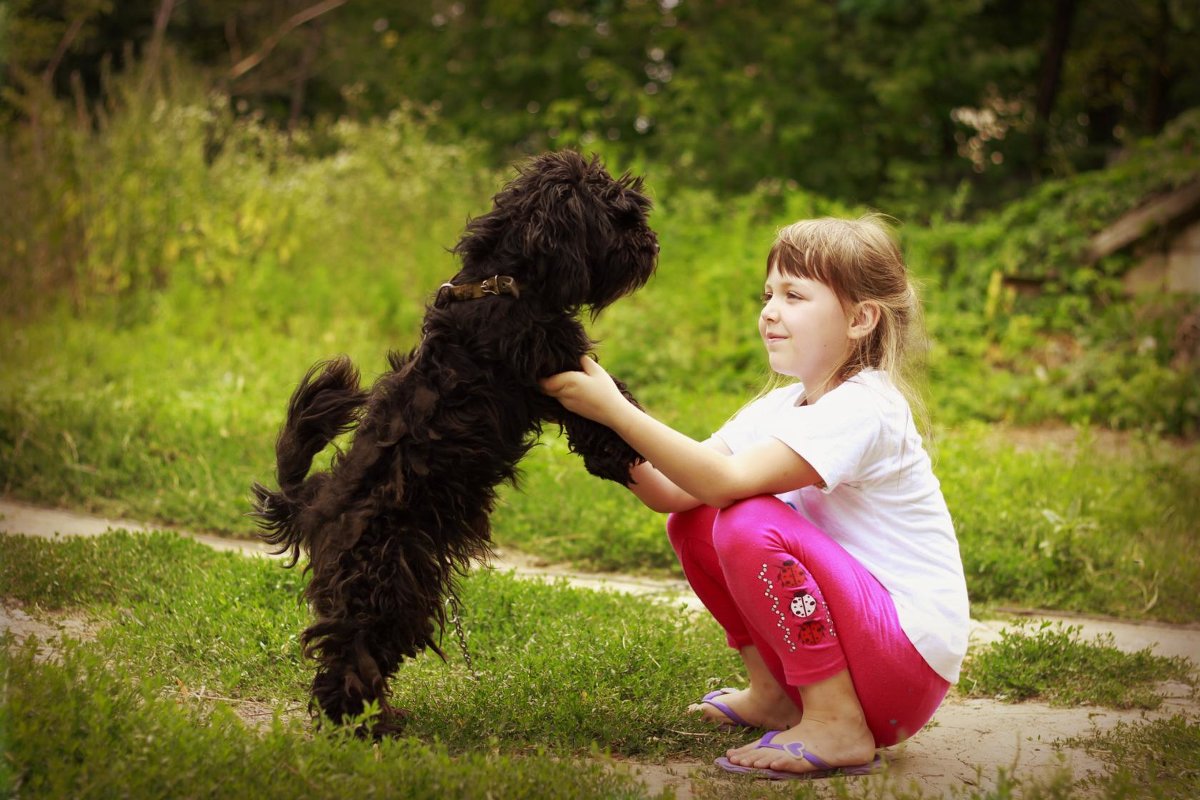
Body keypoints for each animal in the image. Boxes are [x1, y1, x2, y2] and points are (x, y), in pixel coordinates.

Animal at [246, 151, 657, 738]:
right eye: (616, 214)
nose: (651, 242)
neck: (503, 281)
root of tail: (311, 504)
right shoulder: (556, 369)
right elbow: (610, 405)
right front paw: (623, 453)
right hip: (383, 586)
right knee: (346, 654)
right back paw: (367, 726)